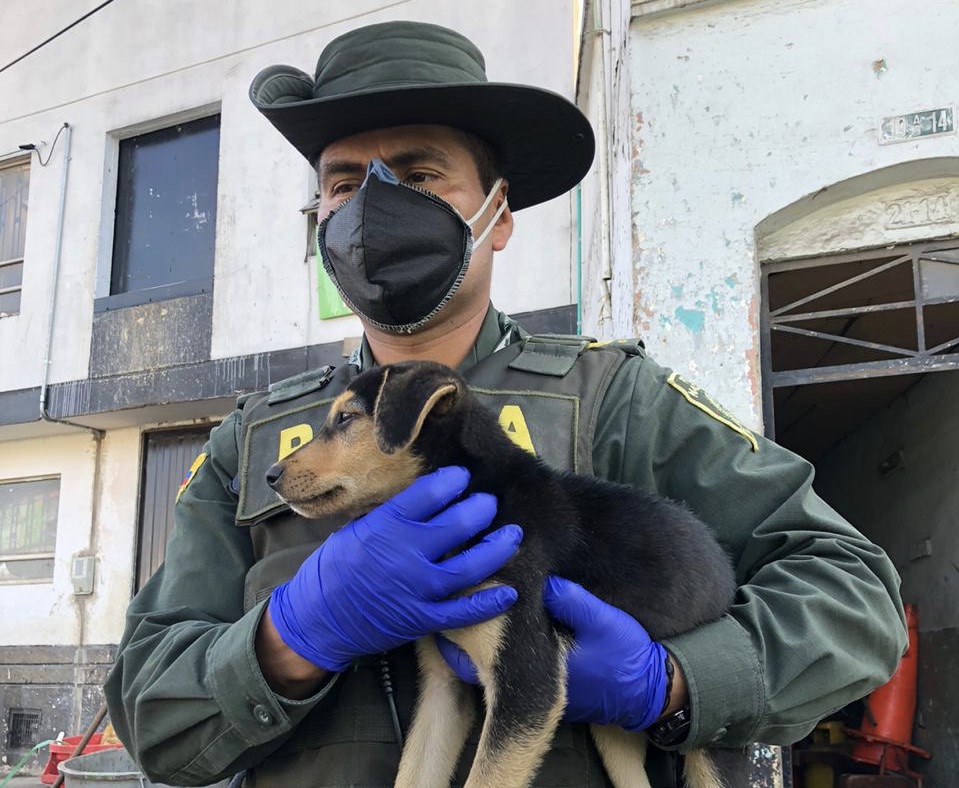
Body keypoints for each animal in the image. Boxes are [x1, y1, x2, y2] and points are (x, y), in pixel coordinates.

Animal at [268, 360, 736, 784]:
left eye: (346, 418)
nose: (271, 474)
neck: (477, 496)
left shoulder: (527, 682)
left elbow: (486, 778)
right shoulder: (443, 686)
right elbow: (415, 772)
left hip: (704, 747)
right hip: (613, 725)